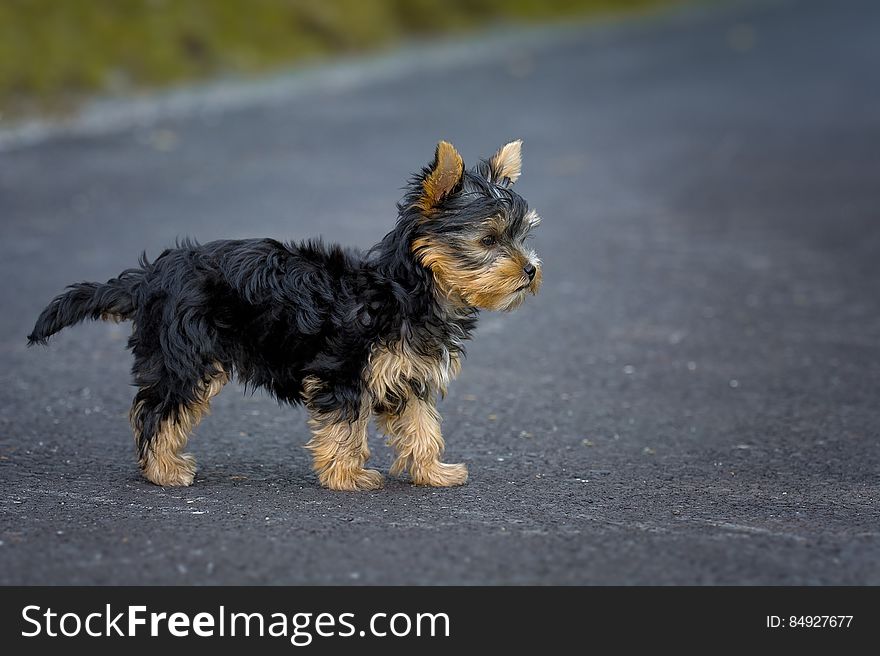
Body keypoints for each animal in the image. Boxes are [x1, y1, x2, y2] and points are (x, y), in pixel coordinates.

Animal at [29, 141, 536, 490]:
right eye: (488, 240)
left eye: (522, 237)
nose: (531, 270)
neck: (405, 290)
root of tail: (151, 276)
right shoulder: (343, 371)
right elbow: (345, 426)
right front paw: (348, 477)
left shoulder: (406, 375)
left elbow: (421, 425)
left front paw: (433, 471)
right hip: (186, 356)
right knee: (159, 411)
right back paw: (163, 471)